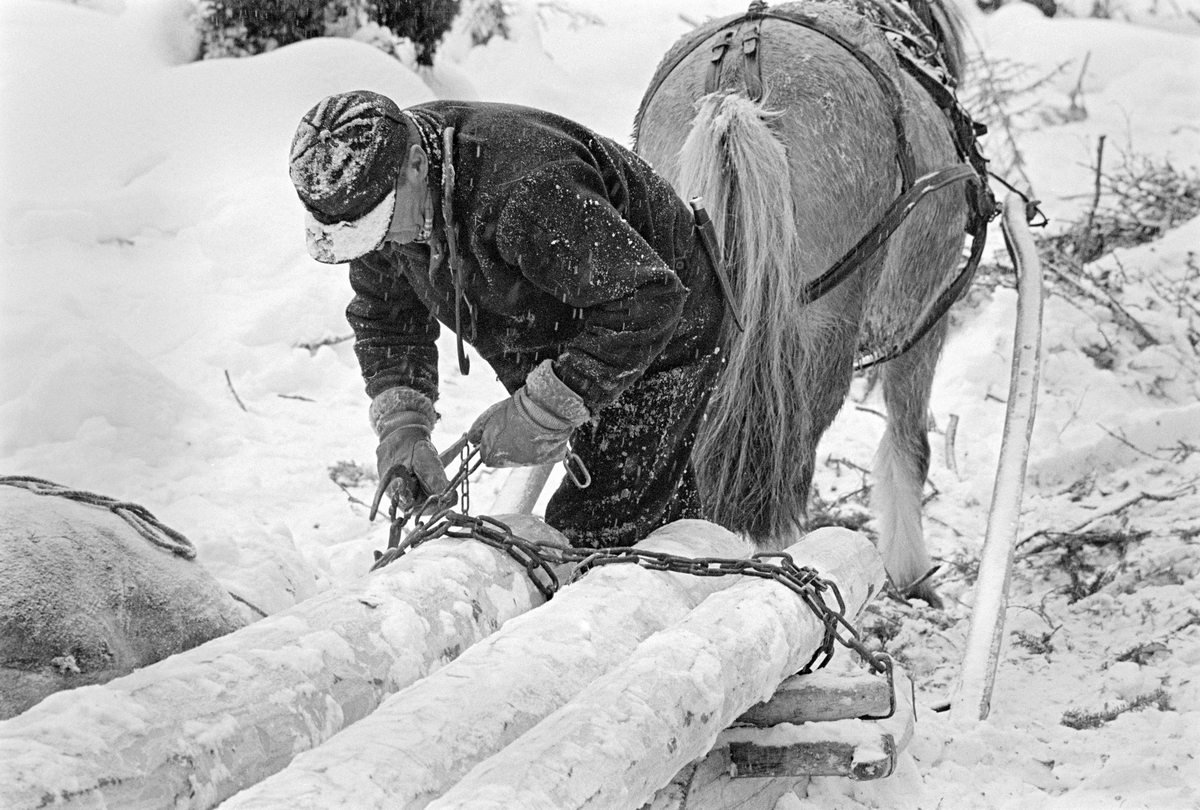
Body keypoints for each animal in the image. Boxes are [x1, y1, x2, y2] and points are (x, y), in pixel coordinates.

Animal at [633, 0, 988, 604]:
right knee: (791, 454)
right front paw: (913, 577)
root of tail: (737, 81)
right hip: (825, 328)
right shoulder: (921, 317)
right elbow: (910, 445)